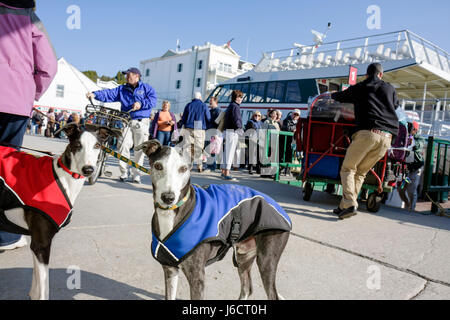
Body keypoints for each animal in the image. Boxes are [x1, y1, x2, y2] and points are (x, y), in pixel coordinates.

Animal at [0, 123, 116, 300]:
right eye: (77, 145)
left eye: (97, 146)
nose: (88, 169)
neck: (64, 176)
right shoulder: (42, 244)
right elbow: (44, 290)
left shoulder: (37, 244)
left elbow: (37, 283)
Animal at [136, 140, 292, 300]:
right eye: (158, 166)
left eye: (183, 168)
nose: (168, 197)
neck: (171, 213)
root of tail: (277, 206)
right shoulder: (170, 269)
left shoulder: (197, 276)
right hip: (243, 256)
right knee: (247, 288)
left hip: (267, 260)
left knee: (272, 294)